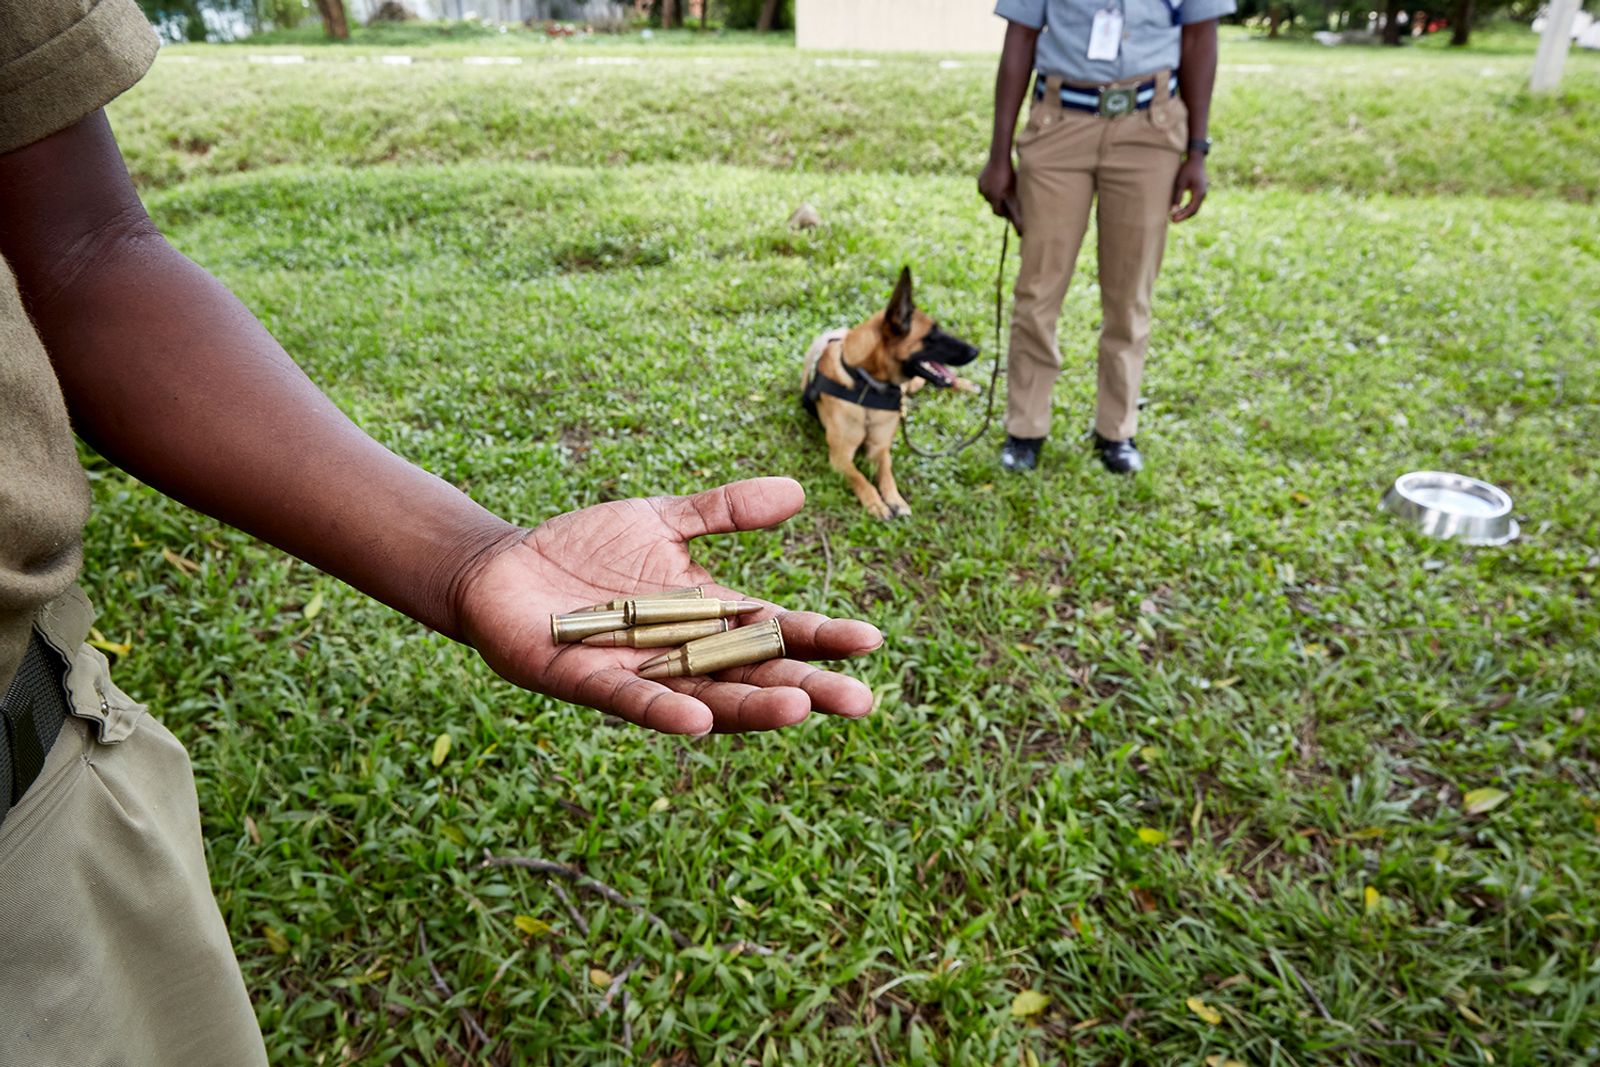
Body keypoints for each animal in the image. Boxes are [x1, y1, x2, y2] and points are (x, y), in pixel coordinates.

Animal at [796, 265, 972, 518]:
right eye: (931, 336)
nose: (975, 350)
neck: (868, 385)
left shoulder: (879, 449)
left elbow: (887, 474)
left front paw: (895, 499)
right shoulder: (840, 456)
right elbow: (859, 477)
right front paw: (876, 503)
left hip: (913, 385)